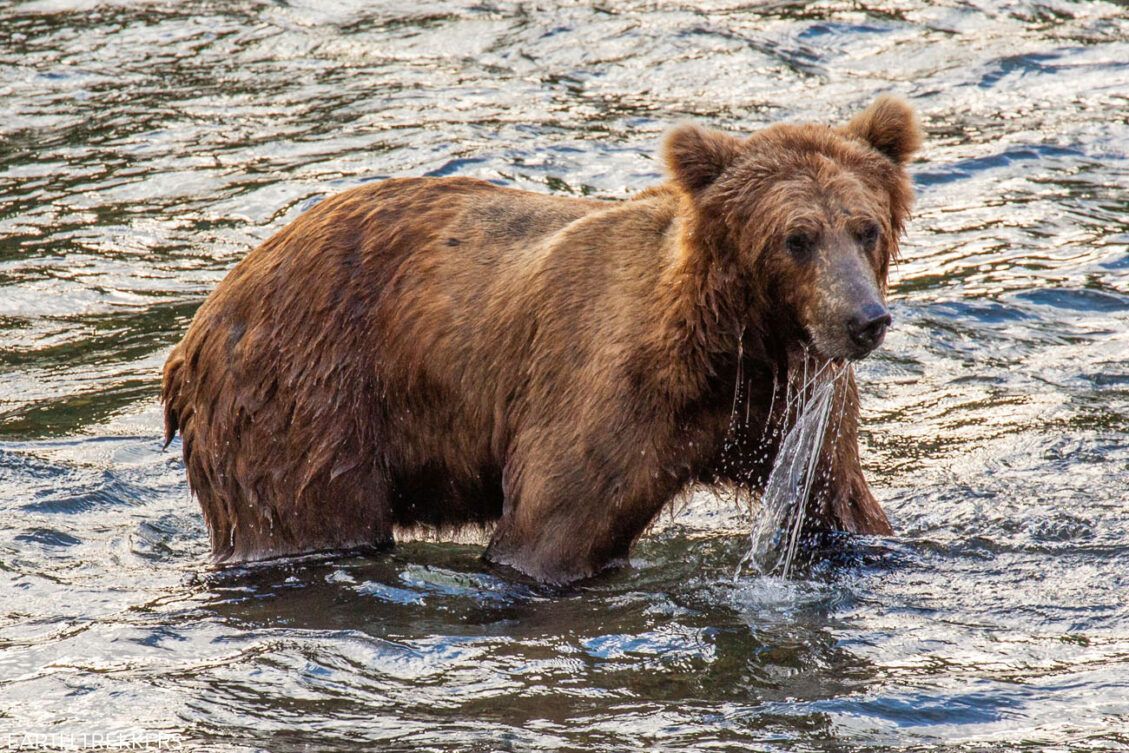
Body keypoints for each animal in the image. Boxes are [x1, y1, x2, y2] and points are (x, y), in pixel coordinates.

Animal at [161, 95, 916, 582]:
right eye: (796, 238)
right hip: (302, 398)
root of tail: (202, 320)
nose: (864, 319)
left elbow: (841, 508)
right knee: (308, 517)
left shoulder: (788, 410)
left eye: (865, 227)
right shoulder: (601, 394)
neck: (731, 348)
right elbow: (546, 535)